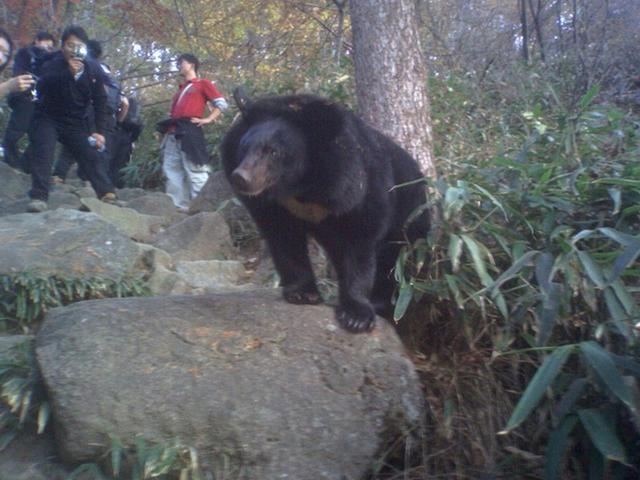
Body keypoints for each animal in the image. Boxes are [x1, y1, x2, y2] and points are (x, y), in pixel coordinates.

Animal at [221, 94, 430, 334]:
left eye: (273, 152)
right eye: (244, 147)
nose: (241, 178)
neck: (301, 188)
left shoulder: (358, 188)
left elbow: (360, 244)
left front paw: (356, 316)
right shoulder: (277, 206)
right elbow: (284, 238)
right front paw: (302, 293)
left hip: (410, 215)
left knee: (396, 259)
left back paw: (381, 302)